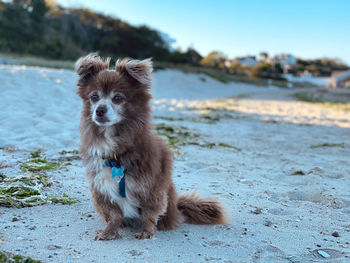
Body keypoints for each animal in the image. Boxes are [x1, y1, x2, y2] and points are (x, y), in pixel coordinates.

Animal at [75, 53, 228, 241]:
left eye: (117, 98)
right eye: (94, 97)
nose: (99, 110)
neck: (117, 153)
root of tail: (177, 208)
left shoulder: (152, 187)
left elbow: (149, 213)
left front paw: (146, 231)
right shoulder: (102, 190)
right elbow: (114, 215)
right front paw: (109, 232)